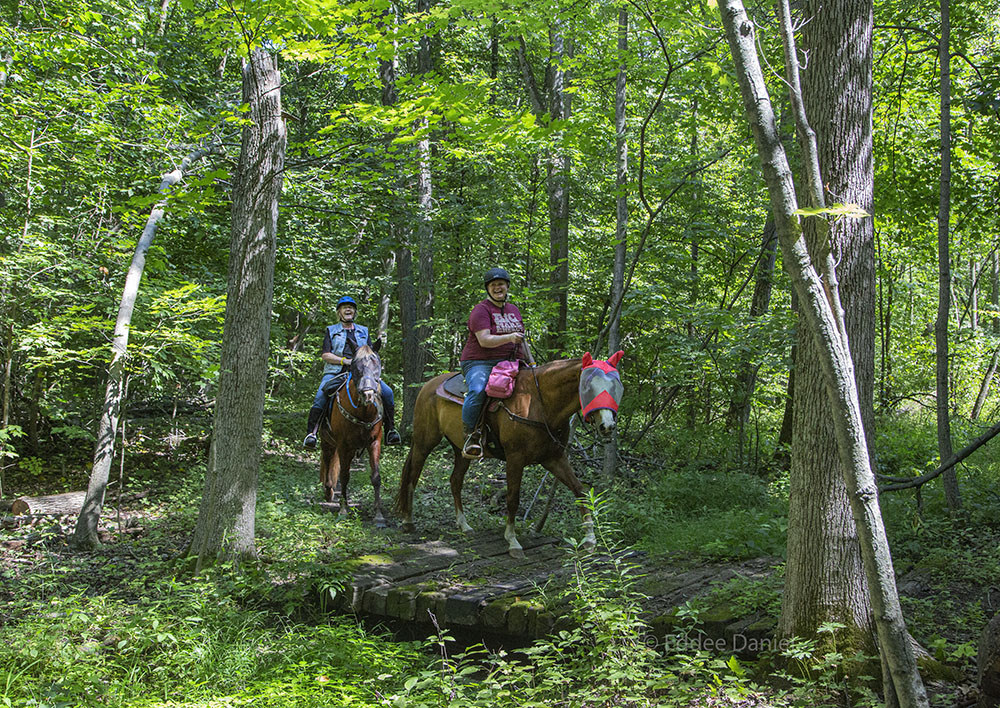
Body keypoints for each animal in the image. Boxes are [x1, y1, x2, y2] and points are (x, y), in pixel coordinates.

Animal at [320, 342, 386, 524]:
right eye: (355, 366)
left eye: (377, 364)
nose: (368, 394)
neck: (363, 413)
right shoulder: (344, 445)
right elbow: (344, 476)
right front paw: (343, 509)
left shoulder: (374, 442)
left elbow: (376, 477)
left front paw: (378, 514)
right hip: (326, 441)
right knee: (328, 459)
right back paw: (328, 490)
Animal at [392, 352, 620, 556]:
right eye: (588, 386)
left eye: (616, 387)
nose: (607, 426)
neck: (539, 402)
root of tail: (427, 386)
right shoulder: (515, 459)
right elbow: (513, 498)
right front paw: (513, 541)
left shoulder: (554, 458)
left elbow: (580, 491)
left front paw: (590, 539)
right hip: (424, 442)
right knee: (413, 475)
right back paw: (408, 521)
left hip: (460, 449)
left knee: (455, 481)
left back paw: (464, 524)